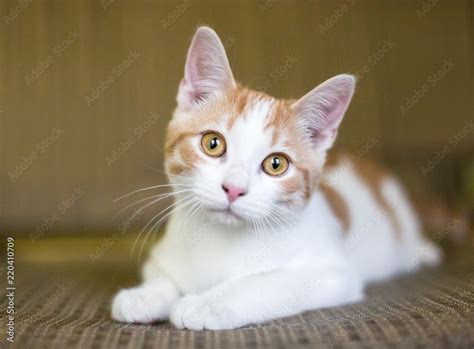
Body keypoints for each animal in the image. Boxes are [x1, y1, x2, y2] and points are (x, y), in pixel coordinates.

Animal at [111, 25, 440, 328]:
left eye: (276, 164)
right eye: (212, 144)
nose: (233, 189)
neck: (222, 239)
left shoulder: (333, 274)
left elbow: (267, 282)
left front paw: (205, 303)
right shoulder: (162, 254)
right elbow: (162, 274)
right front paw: (143, 296)